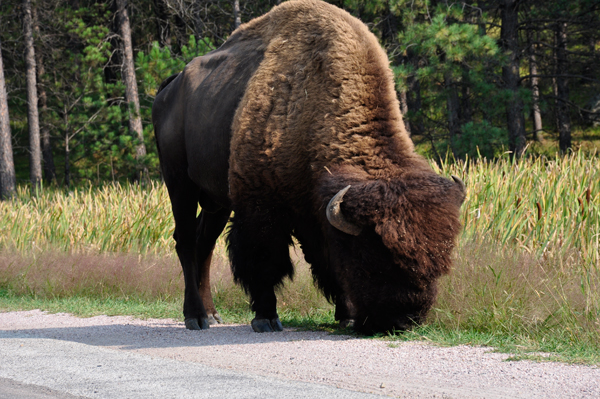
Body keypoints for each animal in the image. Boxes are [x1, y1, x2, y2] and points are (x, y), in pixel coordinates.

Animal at [152, 0, 466, 334]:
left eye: (440, 262)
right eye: (372, 259)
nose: (403, 320)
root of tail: (169, 88)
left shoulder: (312, 211)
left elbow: (323, 260)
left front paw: (346, 314)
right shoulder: (260, 205)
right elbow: (263, 259)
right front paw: (266, 318)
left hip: (216, 201)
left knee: (205, 244)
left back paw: (211, 314)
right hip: (179, 183)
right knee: (186, 240)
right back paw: (195, 316)